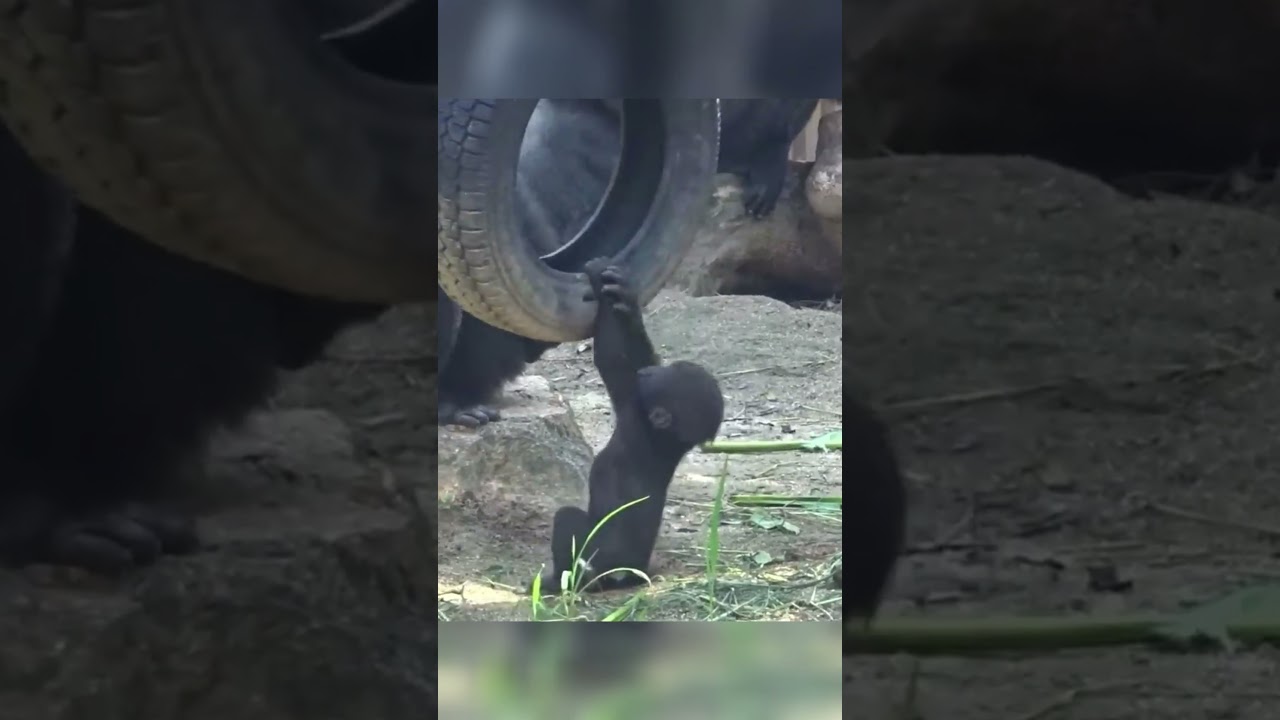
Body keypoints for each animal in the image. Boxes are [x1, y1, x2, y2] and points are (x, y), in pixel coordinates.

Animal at [534, 258, 724, 594]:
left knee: (568, 520)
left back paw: (557, 581)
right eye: (667, 368)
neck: (666, 440)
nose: (649, 372)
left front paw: (611, 286)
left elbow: (614, 359)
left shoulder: (634, 412)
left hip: (596, 562)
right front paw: (627, 299)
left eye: (665, 376)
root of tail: (624, 575)